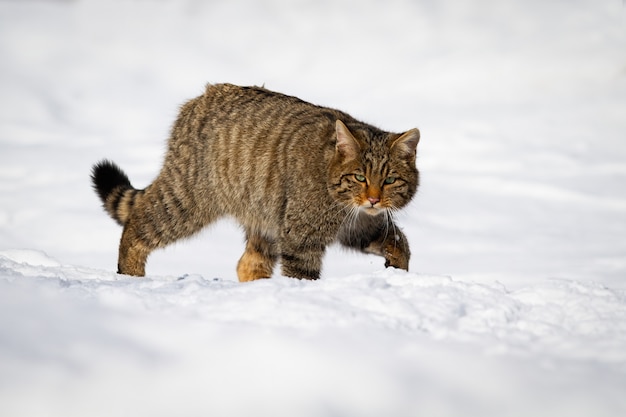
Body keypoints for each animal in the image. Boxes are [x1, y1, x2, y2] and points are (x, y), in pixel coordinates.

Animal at [90, 83, 416, 280]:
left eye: (390, 180)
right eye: (360, 177)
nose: (373, 198)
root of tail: (200, 97)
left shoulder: (362, 227)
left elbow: (401, 243)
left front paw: (397, 272)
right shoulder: (302, 237)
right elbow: (301, 275)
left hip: (263, 216)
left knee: (247, 264)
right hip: (186, 201)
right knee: (136, 224)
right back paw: (131, 274)